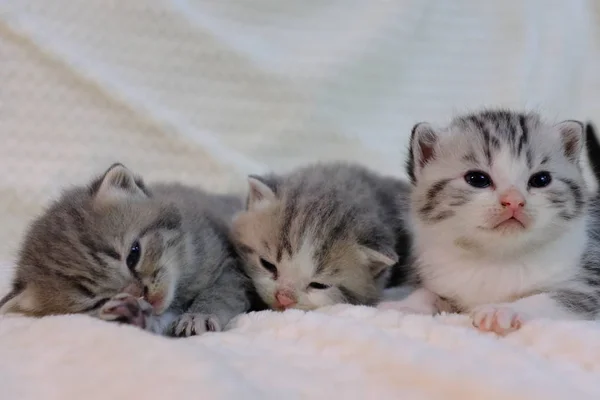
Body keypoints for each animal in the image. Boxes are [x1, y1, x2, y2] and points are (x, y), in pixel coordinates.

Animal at [0, 164, 253, 336]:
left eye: (134, 254)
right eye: (99, 302)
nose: (144, 295)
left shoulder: (229, 267)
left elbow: (220, 293)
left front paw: (198, 315)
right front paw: (132, 314)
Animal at [378, 108, 600, 334]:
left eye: (541, 180)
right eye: (477, 179)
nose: (514, 201)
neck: (498, 258)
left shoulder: (589, 283)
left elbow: (552, 298)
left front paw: (502, 309)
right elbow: (428, 292)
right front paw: (408, 304)